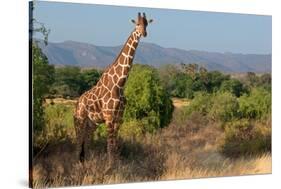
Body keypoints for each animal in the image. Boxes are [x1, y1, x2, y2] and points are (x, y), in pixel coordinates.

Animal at [73, 12, 152, 165]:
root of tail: (77, 102)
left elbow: (115, 145)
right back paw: (77, 164)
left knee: (87, 141)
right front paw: (110, 166)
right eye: (137, 24)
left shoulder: (119, 118)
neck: (119, 83)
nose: (144, 33)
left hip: (92, 123)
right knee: (78, 141)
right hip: (79, 120)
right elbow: (110, 145)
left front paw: (117, 165)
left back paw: (88, 162)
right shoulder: (109, 116)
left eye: (146, 24)